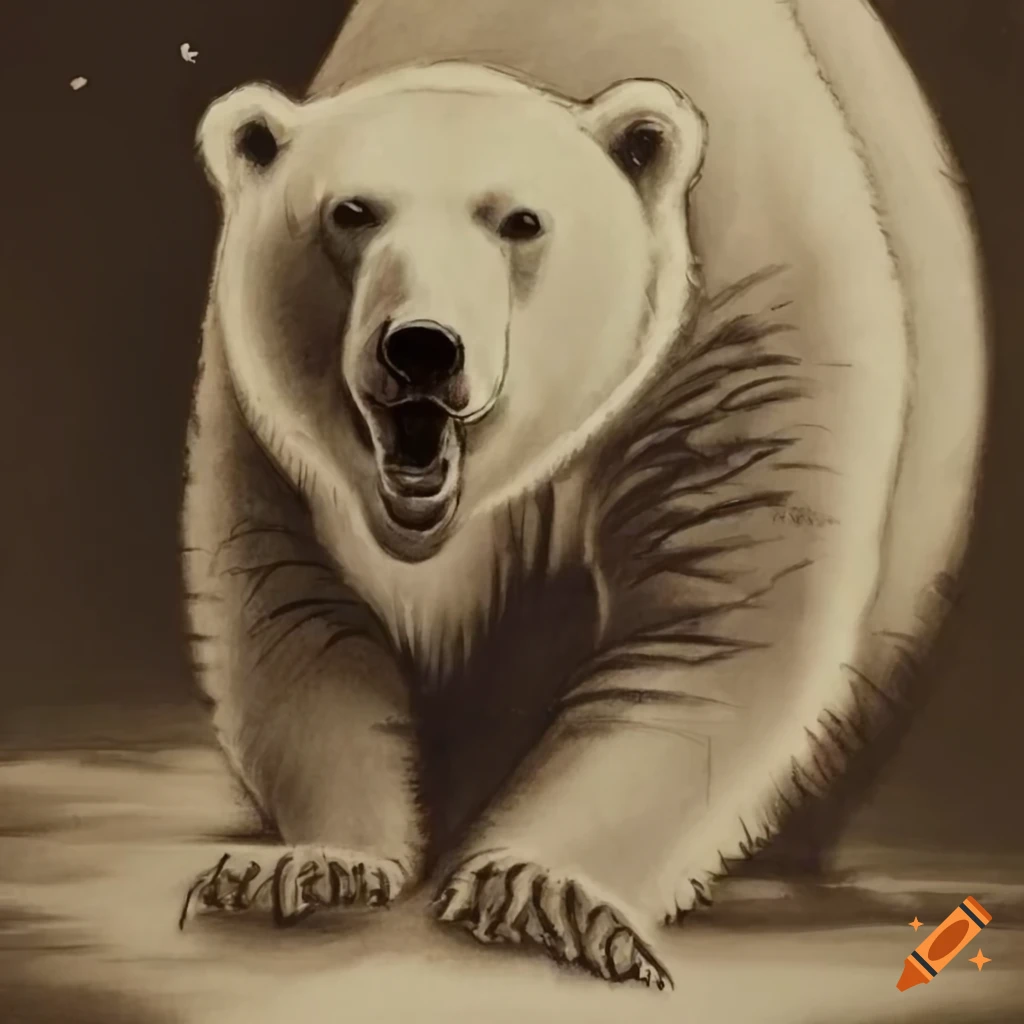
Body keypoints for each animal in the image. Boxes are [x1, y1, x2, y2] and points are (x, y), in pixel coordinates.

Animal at [179, 0, 987, 992]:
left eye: (521, 221)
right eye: (352, 210)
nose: (421, 348)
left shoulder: (732, 329)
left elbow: (707, 625)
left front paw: (539, 893)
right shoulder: (265, 420)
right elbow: (294, 613)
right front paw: (309, 866)